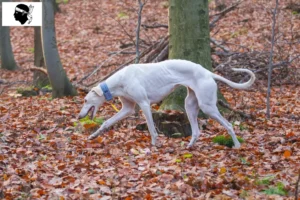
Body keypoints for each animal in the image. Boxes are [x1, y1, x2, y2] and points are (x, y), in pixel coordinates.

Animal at [78, 59, 255, 148]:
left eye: (86, 100)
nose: (79, 116)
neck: (120, 81)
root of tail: (208, 72)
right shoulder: (127, 108)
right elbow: (106, 122)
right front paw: (94, 135)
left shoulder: (144, 104)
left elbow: (151, 128)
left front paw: (154, 144)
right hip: (190, 105)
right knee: (196, 131)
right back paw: (189, 146)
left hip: (208, 107)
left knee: (229, 125)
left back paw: (237, 145)